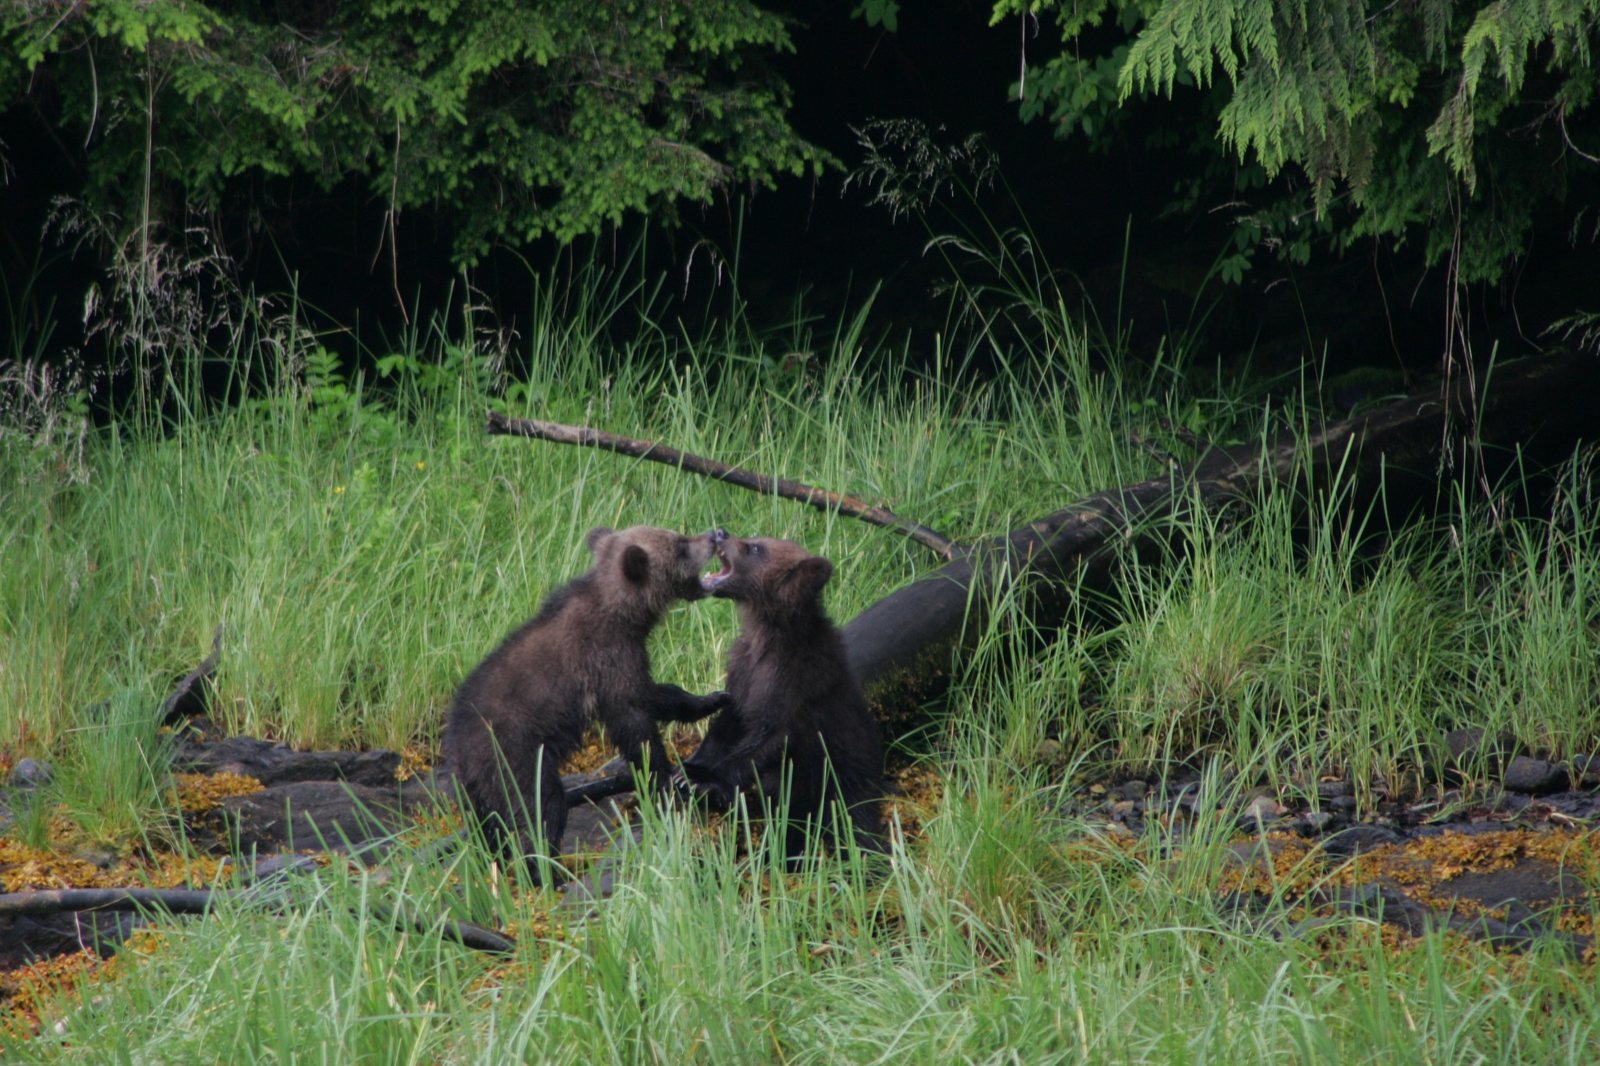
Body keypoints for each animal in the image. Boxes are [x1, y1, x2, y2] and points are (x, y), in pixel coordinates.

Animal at [442, 525, 729, 882]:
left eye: (679, 535)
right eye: (680, 545)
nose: (716, 534)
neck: (625, 616)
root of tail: (458, 750)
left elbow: (655, 696)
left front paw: (712, 698)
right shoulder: (609, 660)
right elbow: (635, 721)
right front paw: (669, 778)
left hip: (475, 791)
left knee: (487, 828)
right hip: (514, 759)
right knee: (543, 807)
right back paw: (546, 871)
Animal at [678, 532, 887, 859]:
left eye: (754, 548)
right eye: (753, 538)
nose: (721, 532)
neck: (767, 638)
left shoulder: (794, 684)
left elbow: (770, 738)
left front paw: (707, 782)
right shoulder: (744, 673)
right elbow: (728, 722)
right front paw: (689, 767)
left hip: (844, 783)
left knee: (856, 826)